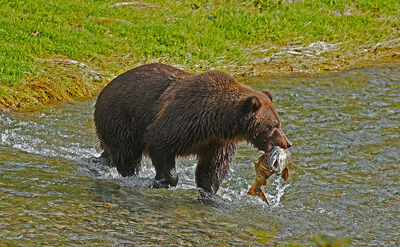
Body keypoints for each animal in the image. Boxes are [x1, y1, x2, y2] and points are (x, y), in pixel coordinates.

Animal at [95, 62, 292, 194]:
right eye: (273, 126)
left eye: (279, 123)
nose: (287, 143)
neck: (217, 122)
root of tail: (104, 90)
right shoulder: (185, 120)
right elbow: (160, 140)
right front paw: (162, 181)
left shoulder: (217, 142)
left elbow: (213, 168)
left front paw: (209, 190)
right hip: (122, 119)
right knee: (127, 154)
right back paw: (130, 175)